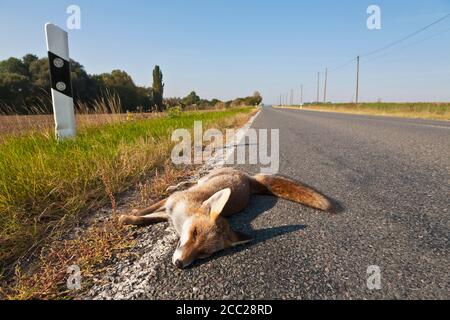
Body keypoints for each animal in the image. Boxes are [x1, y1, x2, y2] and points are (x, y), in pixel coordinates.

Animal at [118, 166, 332, 268]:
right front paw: (130, 216)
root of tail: (249, 179)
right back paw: (177, 184)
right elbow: (146, 213)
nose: (180, 264)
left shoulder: (167, 214)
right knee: (194, 181)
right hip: (206, 177)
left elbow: (148, 218)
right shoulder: (168, 205)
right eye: (194, 233)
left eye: (204, 254)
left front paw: (129, 218)